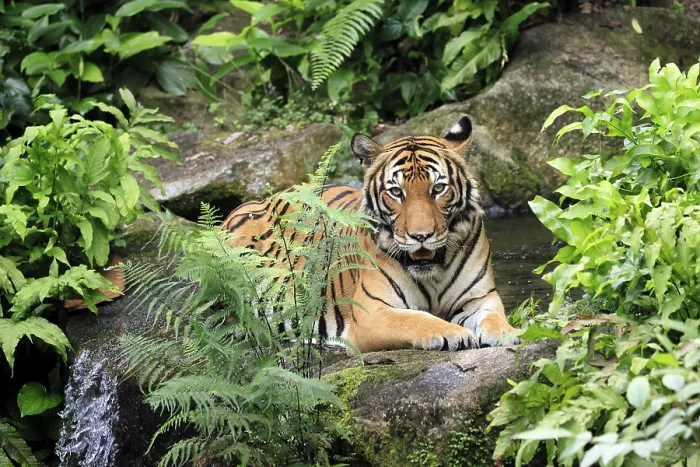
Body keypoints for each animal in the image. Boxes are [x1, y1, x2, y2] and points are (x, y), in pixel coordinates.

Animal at [222, 116, 519, 352]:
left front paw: (509, 333)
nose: (421, 236)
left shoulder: (479, 299)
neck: (432, 272)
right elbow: (414, 319)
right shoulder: (371, 313)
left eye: (438, 188)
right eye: (396, 192)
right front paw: (453, 333)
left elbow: (493, 317)